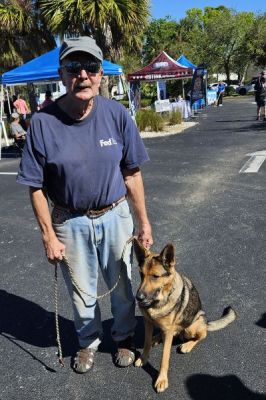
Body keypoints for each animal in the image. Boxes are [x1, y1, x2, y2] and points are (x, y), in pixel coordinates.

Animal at [134, 239, 236, 392]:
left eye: (155, 276)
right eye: (141, 274)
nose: (138, 298)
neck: (158, 301)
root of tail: (206, 322)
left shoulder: (167, 332)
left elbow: (164, 358)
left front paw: (161, 379)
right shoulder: (148, 322)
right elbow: (146, 343)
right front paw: (144, 358)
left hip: (191, 327)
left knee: (202, 335)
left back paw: (187, 345)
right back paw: (156, 338)